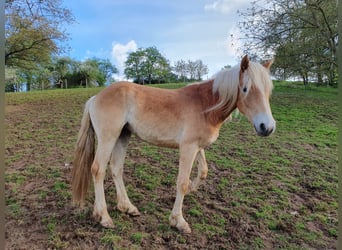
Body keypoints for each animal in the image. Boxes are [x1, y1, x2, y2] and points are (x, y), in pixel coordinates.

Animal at [71, 55, 276, 234]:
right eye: (245, 89)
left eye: (268, 91)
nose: (267, 127)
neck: (205, 106)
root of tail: (95, 98)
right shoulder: (188, 147)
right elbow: (182, 183)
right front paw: (178, 221)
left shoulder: (197, 147)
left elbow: (203, 172)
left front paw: (190, 190)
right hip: (108, 138)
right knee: (98, 170)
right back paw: (104, 217)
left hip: (123, 136)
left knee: (116, 168)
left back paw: (127, 207)